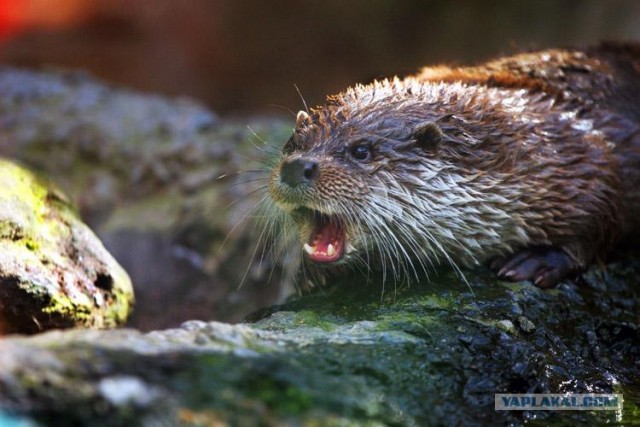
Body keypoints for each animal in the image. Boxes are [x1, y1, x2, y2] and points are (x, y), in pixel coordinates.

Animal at [268, 42, 640, 288]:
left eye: (361, 151)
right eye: (295, 142)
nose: (296, 167)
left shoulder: (585, 158)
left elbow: (604, 209)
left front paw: (537, 259)